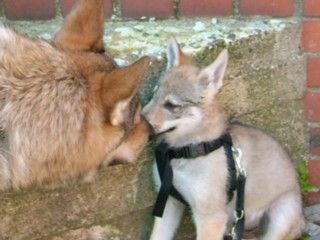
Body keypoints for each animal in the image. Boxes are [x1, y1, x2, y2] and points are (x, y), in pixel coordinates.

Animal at [143, 39, 304, 240]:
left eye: (172, 105)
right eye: (154, 94)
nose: (140, 120)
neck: (186, 150)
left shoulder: (210, 217)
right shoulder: (169, 202)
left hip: (282, 217)